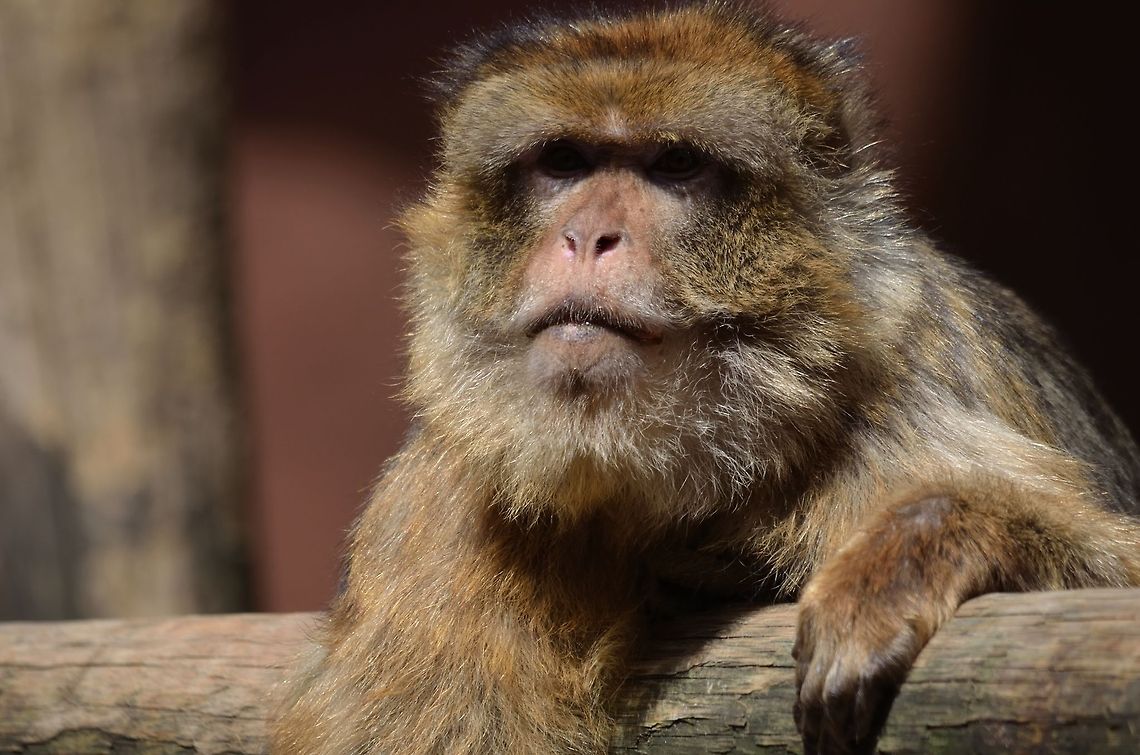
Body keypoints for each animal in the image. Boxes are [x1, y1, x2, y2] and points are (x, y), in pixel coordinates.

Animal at [271, 3, 1140, 753]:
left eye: (675, 164)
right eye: (564, 162)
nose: (588, 236)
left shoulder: (901, 414)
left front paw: (923, 543)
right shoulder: (440, 508)